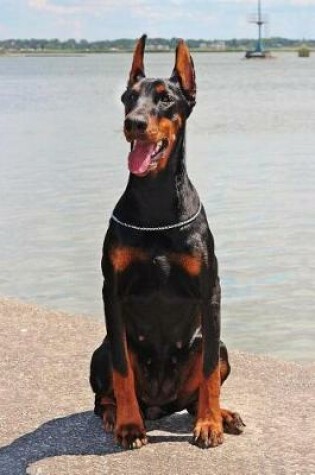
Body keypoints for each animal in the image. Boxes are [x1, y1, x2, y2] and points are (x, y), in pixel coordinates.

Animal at [90, 35, 246, 452]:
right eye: (129, 97)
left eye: (165, 99)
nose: (134, 123)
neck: (156, 203)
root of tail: (161, 404)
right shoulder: (112, 293)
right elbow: (122, 371)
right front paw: (130, 425)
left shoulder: (210, 291)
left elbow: (208, 373)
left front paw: (209, 424)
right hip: (100, 349)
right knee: (102, 394)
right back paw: (115, 414)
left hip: (217, 346)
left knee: (196, 392)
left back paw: (221, 415)